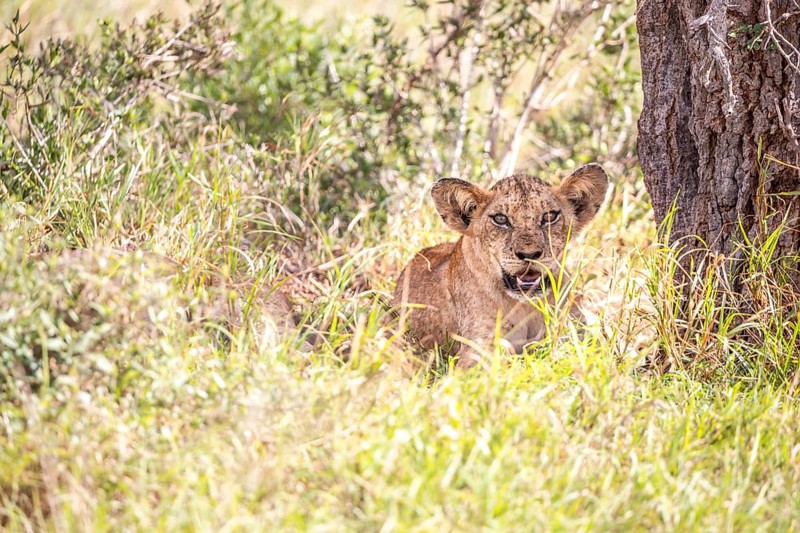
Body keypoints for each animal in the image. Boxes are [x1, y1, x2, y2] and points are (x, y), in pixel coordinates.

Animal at [393, 164, 609, 369]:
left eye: (549, 217)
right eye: (500, 219)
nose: (529, 254)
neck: (526, 307)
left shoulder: (582, 328)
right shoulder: (474, 349)